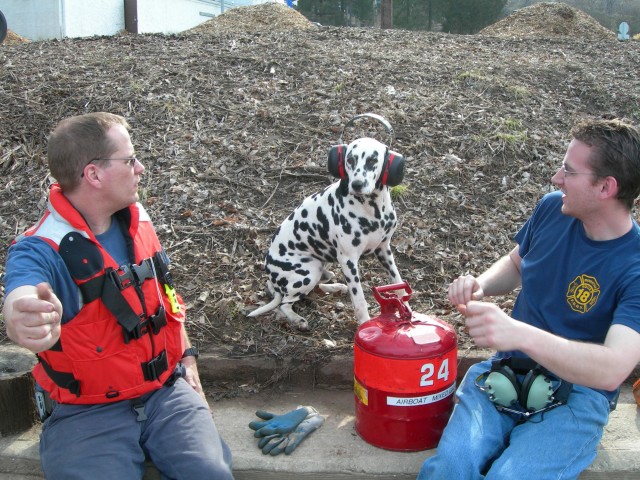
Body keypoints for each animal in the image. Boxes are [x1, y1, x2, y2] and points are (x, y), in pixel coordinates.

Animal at [248, 135, 402, 330]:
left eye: (372, 160)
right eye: (350, 160)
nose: (356, 184)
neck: (372, 209)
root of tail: (271, 277)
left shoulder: (384, 250)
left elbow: (398, 281)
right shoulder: (348, 261)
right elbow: (359, 299)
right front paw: (365, 323)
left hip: (322, 262)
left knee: (317, 285)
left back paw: (336, 287)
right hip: (309, 270)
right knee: (285, 303)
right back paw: (297, 319)